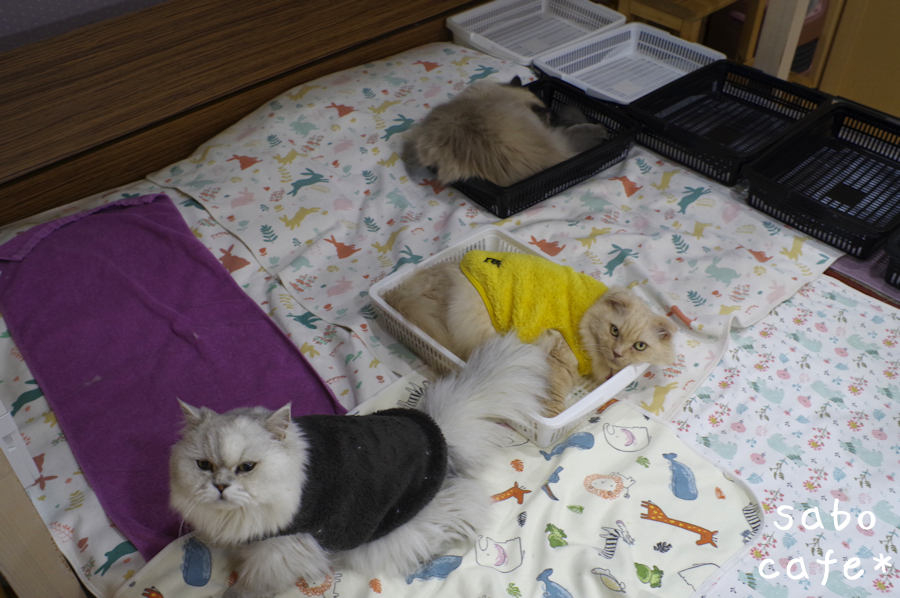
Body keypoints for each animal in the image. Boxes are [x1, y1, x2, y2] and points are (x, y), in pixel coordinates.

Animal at [169, 334, 548, 598]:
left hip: (385, 536)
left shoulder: (283, 548)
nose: (220, 486)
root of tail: (437, 433)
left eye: (247, 467)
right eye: (203, 465)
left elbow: (251, 583)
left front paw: (231, 590)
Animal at [383, 251, 676, 416]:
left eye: (640, 346)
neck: (588, 314)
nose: (617, 353)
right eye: (614, 331)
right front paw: (554, 414)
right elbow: (554, 395)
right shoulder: (560, 359)